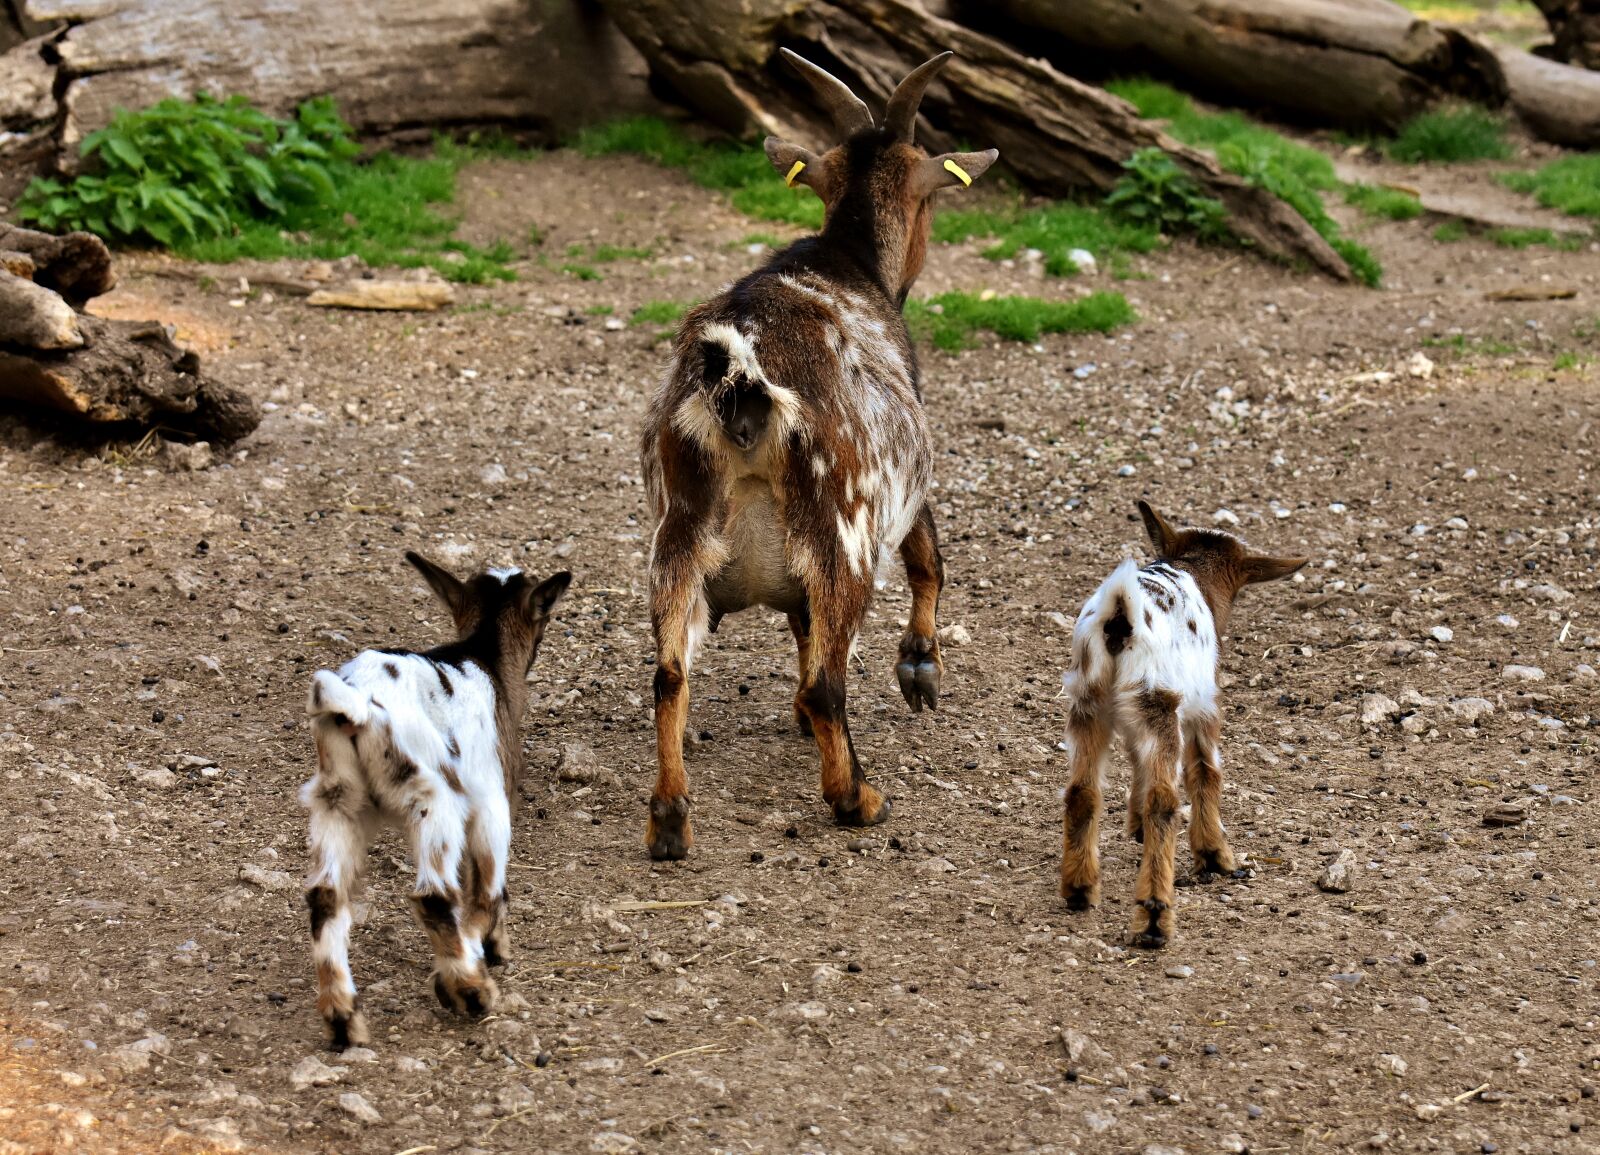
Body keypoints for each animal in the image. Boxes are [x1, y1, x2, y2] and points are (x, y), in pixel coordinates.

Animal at [300, 552, 569, 1046]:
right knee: (433, 894)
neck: (484, 656)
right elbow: (486, 885)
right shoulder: (491, 801)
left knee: (326, 897)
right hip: (432, 799)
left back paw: (344, 1020)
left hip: (337, 801)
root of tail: (355, 703)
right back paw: (472, 990)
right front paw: (485, 950)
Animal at [638, 50, 998, 860]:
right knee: (827, 683)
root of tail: (739, 373)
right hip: (845, 529)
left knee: (671, 674)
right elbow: (930, 558)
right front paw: (920, 669)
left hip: (679, 533)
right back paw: (857, 798)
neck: (846, 258)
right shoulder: (905, 478)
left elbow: (800, 624)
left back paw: (671, 819)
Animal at [1059, 501, 1306, 948]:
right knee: (1165, 800)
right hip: (1160, 702)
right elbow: (1206, 771)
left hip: (1089, 701)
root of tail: (1119, 616)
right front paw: (1214, 854)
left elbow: (1136, 761)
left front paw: (1135, 827)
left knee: (1082, 791)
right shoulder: (1204, 704)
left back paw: (1080, 889)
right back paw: (1155, 917)